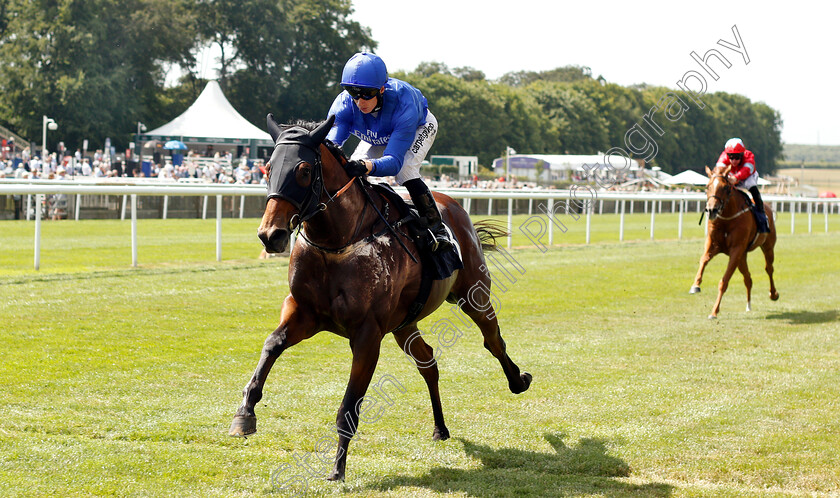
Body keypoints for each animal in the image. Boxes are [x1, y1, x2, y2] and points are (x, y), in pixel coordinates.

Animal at [230, 115, 532, 480]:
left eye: (303, 170)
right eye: (268, 167)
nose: (270, 235)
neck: (338, 241)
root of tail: (455, 207)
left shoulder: (367, 334)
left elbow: (349, 405)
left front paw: (337, 468)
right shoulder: (304, 312)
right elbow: (272, 344)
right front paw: (244, 413)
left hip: (474, 294)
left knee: (493, 339)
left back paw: (518, 380)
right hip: (405, 323)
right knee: (428, 362)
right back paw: (440, 427)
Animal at [692, 164, 776, 320]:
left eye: (726, 187)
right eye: (707, 186)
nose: (711, 210)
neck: (727, 218)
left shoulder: (736, 250)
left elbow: (724, 281)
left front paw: (714, 311)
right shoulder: (713, 244)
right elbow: (703, 259)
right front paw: (696, 285)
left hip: (767, 246)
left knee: (769, 268)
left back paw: (773, 294)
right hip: (742, 257)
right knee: (748, 278)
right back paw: (748, 305)